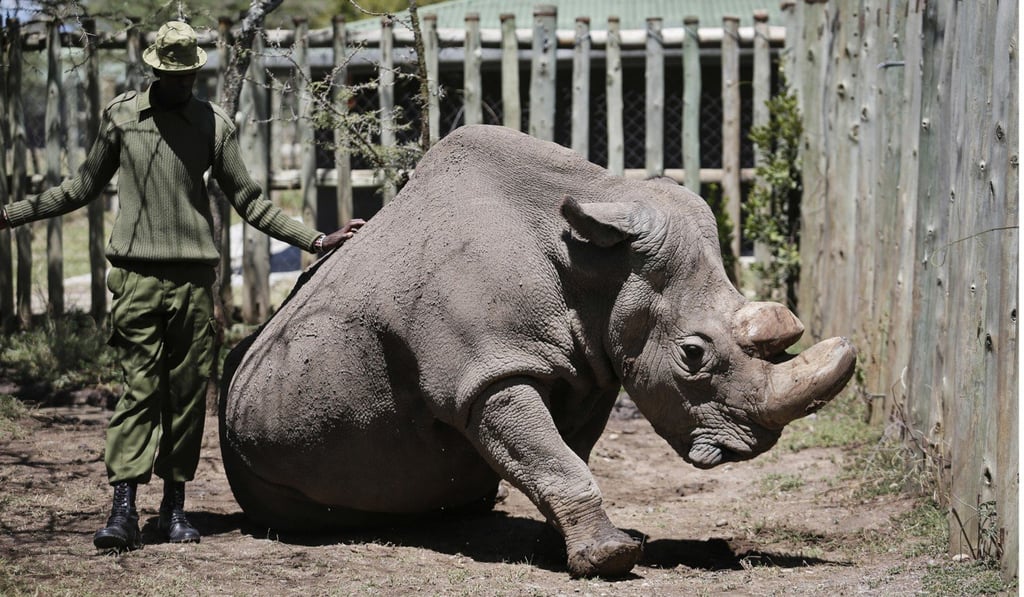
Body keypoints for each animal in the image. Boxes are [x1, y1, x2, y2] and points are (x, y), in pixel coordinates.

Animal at [220, 124, 856, 577]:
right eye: (693, 355)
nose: (751, 447)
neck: (595, 264)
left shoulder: (592, 364)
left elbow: (562, 453)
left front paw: (582, 545)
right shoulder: (486, 375)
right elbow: (551, 455)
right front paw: (611, 560)